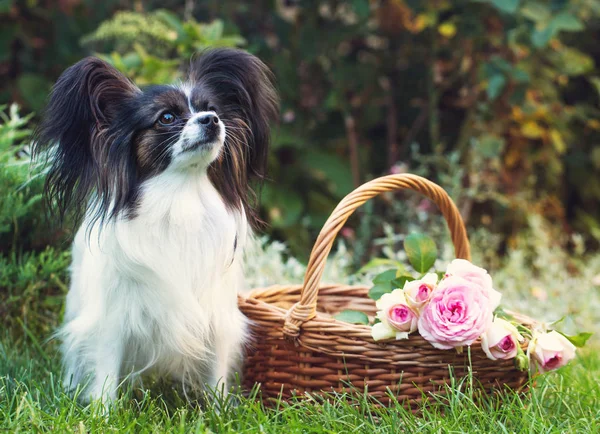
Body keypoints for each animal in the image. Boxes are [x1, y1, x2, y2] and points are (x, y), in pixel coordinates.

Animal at [31, 48, 278, 404]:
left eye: (213, 110)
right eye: (167, 118)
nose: (211, 120)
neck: (181, 196)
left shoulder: (216, 318)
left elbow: (216, 374)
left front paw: (220, 409)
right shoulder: (112, 318)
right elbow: (105, 371)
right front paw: (102, 412)